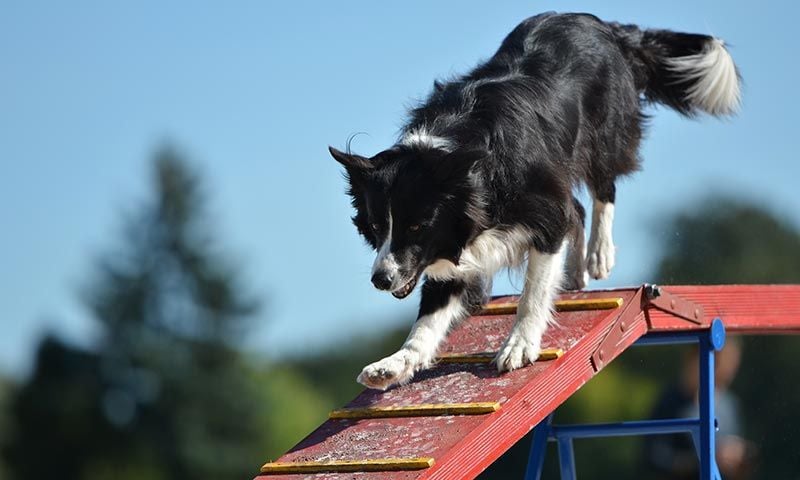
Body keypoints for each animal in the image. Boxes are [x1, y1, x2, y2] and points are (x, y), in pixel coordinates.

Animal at [328, 13, 740, 390]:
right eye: (376, 226)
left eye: (416, 225)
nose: (380, 279)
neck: (462, 163)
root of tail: (601, 24)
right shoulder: (457, 246)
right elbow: (428, 318)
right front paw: (396, 364)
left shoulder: (539, 209)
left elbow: (534, 289)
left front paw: (519, 345)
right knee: (578, 208)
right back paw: (576, 270)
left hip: (601, 133)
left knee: (604, 188)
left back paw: (598, 254)